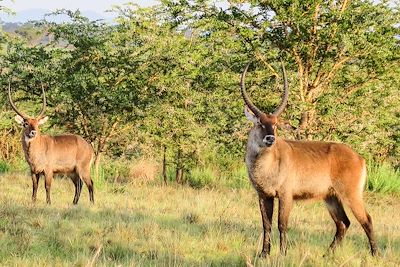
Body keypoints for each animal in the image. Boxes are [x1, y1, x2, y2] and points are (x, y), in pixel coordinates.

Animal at [241, 61, 378, 256]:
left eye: (275, 124)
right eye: (260, 122)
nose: (270, 138)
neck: (266, 164)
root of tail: (359, 157)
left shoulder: (285, 195)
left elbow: (282, 224)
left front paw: (283, 254)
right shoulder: (263, 195)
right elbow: (266, 225)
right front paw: (264, 254)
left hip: (351, 194)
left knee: (366, 219)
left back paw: (375, 254)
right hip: (331, 197)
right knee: (343, 223)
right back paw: (327, 254)